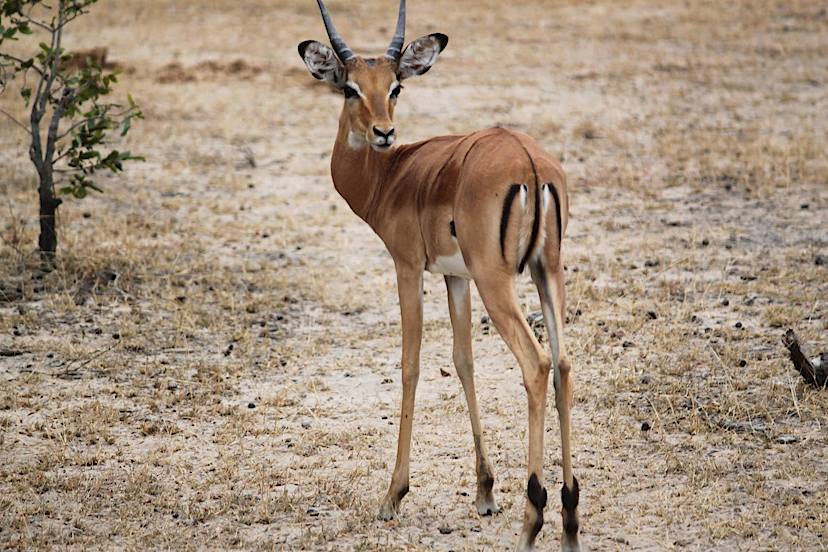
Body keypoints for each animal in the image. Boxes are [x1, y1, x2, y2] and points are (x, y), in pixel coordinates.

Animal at [298, 1, 580, 550]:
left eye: (395, 87)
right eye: (351, 87)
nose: (384, 133)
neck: (392, 177)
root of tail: (530, 163)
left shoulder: (408, 267)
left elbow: (410, 364)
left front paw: (392, 497)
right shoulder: (456, 278)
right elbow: (463, 360)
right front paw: (485, 492)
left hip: (500, 282)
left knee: (536, 364)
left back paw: (532, 520)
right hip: (546, 273)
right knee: (562, 364)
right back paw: (570, 520)